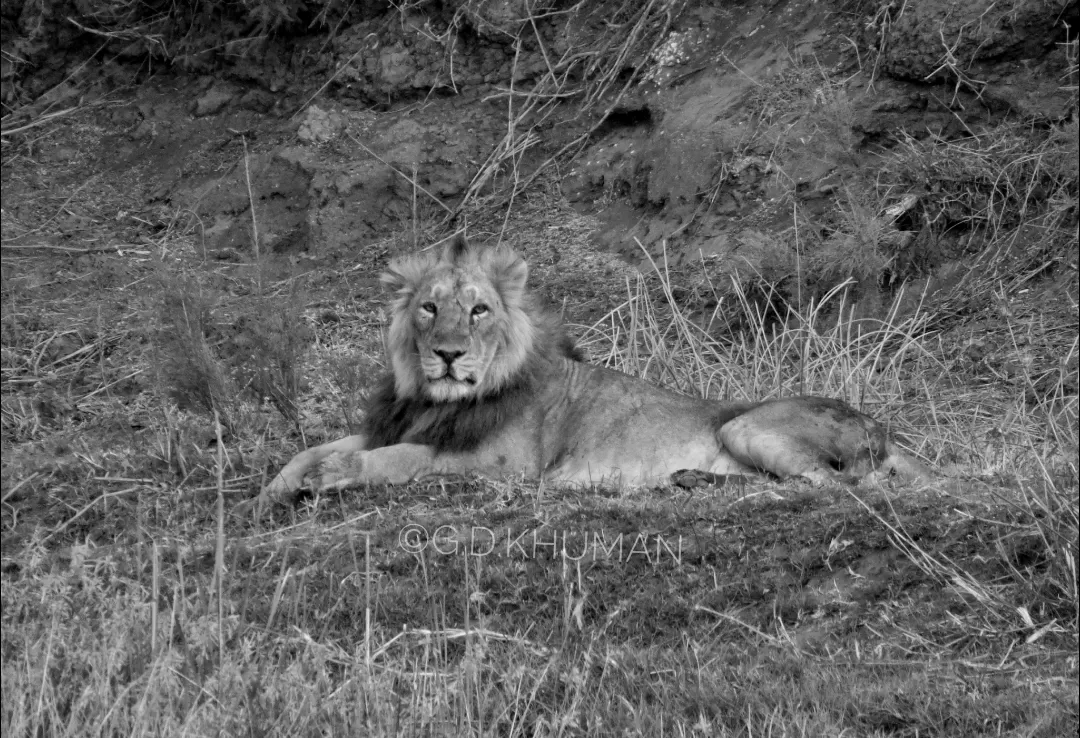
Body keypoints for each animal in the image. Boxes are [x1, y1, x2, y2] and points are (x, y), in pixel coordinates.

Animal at [252, 236, 928, 514]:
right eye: (428, 307)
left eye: (479, 310)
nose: (447, 354)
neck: (433, 399)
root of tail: (884, 429)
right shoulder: (396, 423)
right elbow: (312, 447)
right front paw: (274, 489)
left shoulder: (503, 466)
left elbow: (396, 460)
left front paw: (331, 477)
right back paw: (689, 480)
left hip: (749, 427)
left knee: (839, 486)